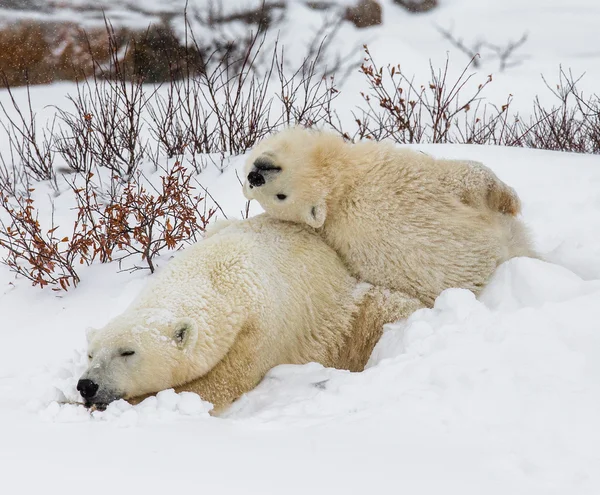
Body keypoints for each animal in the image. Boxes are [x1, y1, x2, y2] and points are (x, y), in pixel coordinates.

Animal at [78, 215, 422, 412]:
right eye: (90, 354)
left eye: (127, 352)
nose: (87, 385)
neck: (218, 276)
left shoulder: (258, 331)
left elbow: (219, 385)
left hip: (346, 313)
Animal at [243, 127, 536, 306]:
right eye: (280, 197)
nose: (255, 176)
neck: (341, 190)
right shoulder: (397, 169)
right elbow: (465, 174)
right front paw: (511, 200)